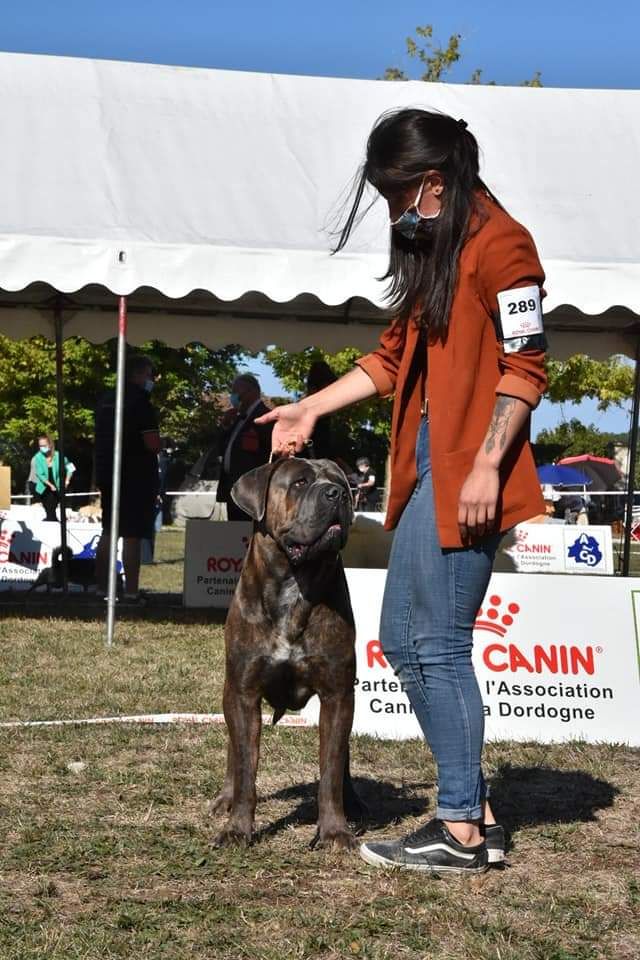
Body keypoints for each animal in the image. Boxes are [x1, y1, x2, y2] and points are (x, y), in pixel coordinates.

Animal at [214, 458, 364, 848]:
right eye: (300, 483)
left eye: (340, 481)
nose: (338, 493)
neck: (294, 582)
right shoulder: (244, 694)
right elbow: (246, 767)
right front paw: (237, 828)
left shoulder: (338, 695)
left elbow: (331, 769)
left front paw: (334, 831)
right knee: (234, 750)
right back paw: (225, 798)